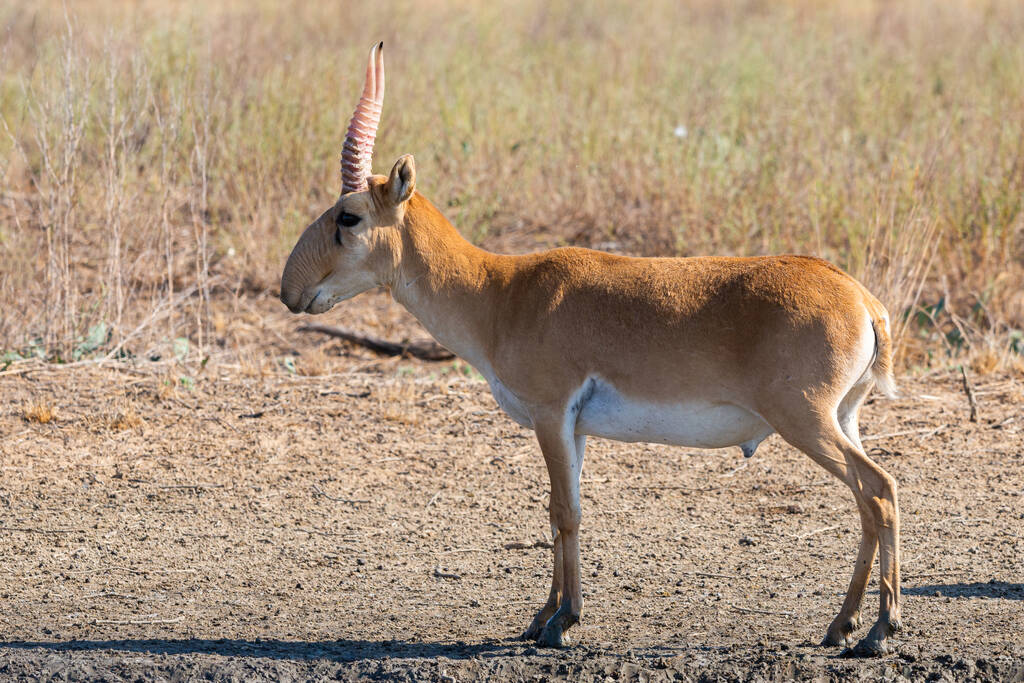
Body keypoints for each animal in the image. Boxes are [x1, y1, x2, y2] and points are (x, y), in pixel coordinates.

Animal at [282, 41, 905, 655]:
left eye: (348, 216)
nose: (291, 290)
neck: (501, 291)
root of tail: (860, 297)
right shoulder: (573, 428)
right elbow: (560, 512)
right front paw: (542, 617)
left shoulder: (552, 414)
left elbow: (566, 512)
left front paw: (562, 621)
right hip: (842, 418)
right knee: (870, 499)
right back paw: (843, 626)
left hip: (804, 419)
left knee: (878, 490)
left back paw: (878, 630)